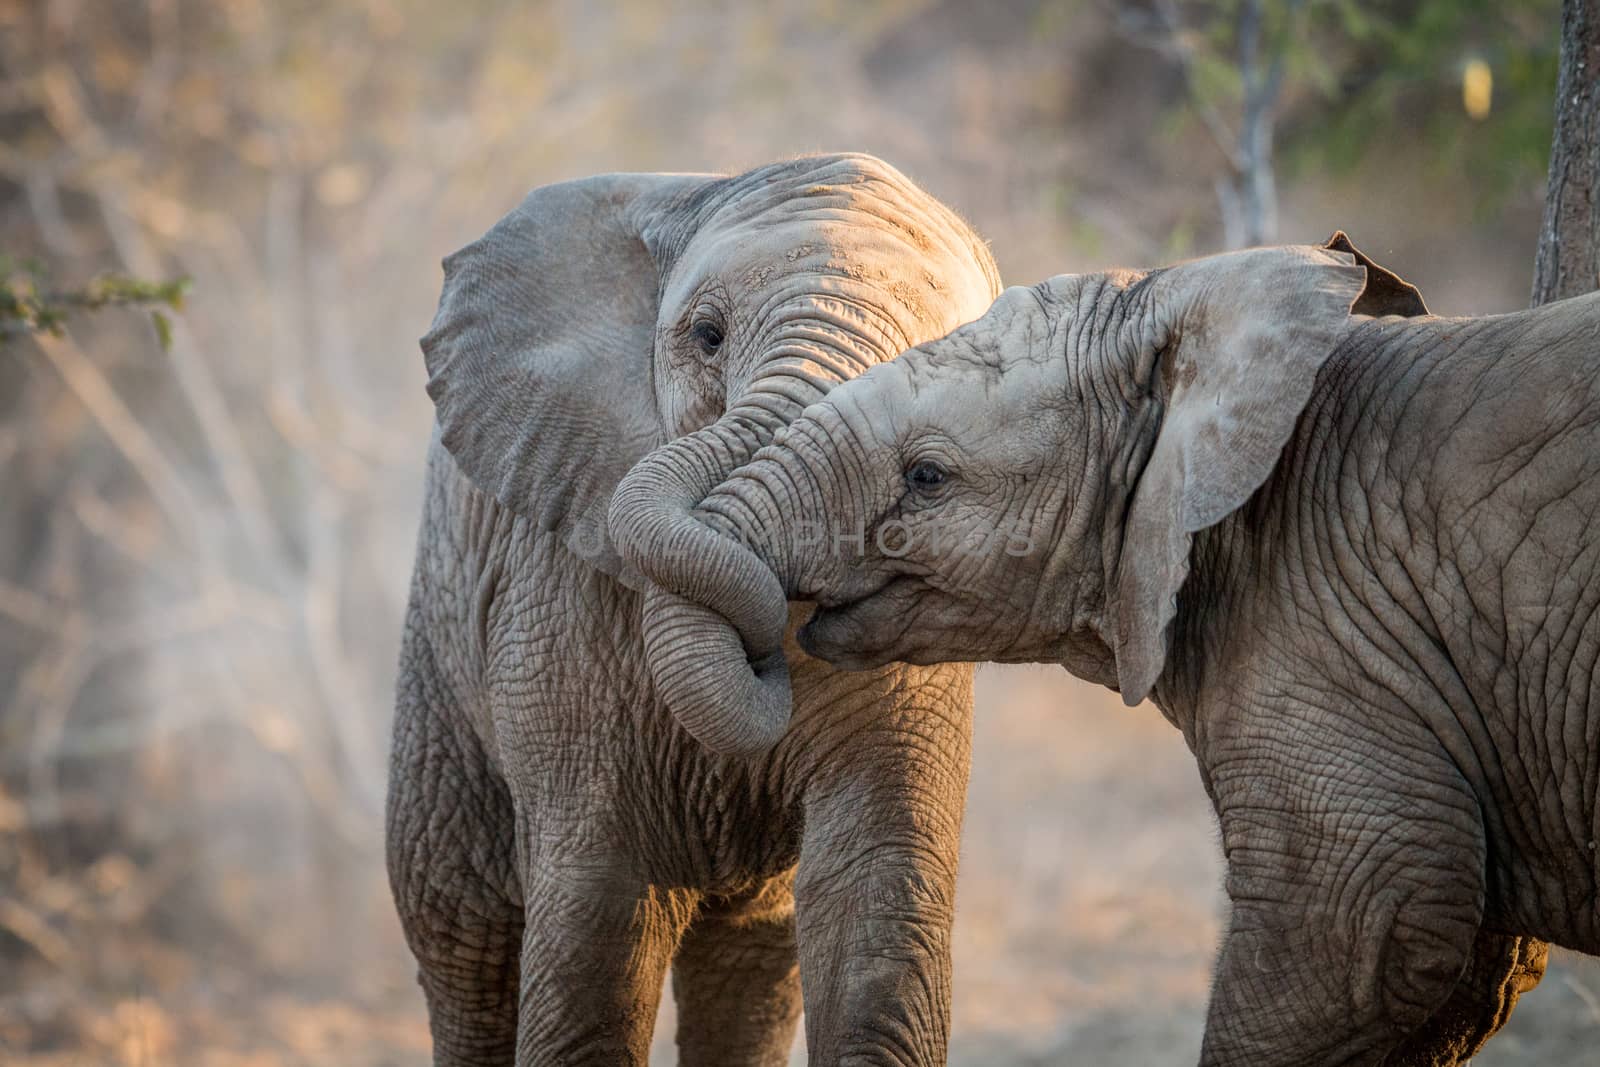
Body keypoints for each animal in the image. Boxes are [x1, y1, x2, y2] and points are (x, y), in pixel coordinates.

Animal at [388, 154, 998, 1062]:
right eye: (706, 336)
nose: (766, 649)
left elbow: (876, 894)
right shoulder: (555, 600)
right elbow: (599, 916)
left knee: (751, 962)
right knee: (465, 937)